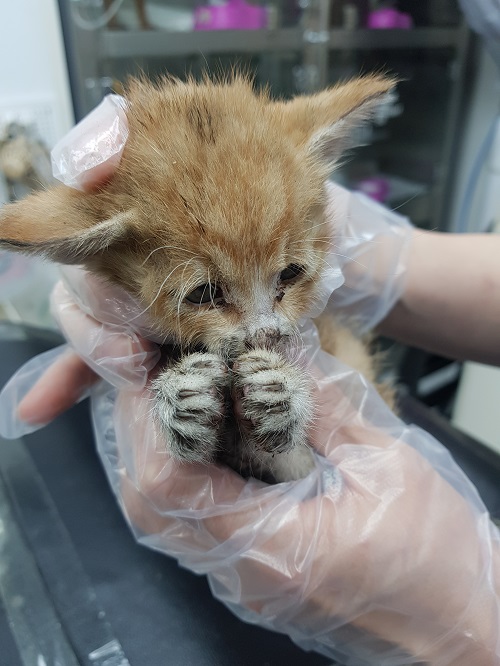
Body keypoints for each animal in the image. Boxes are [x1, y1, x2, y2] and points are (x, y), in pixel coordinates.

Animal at [0, 75, 394, 480]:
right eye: (204, 294)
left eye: (290, 273)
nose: (266, 334)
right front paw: (180, 398)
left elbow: (298, 464)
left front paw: (281, 395)